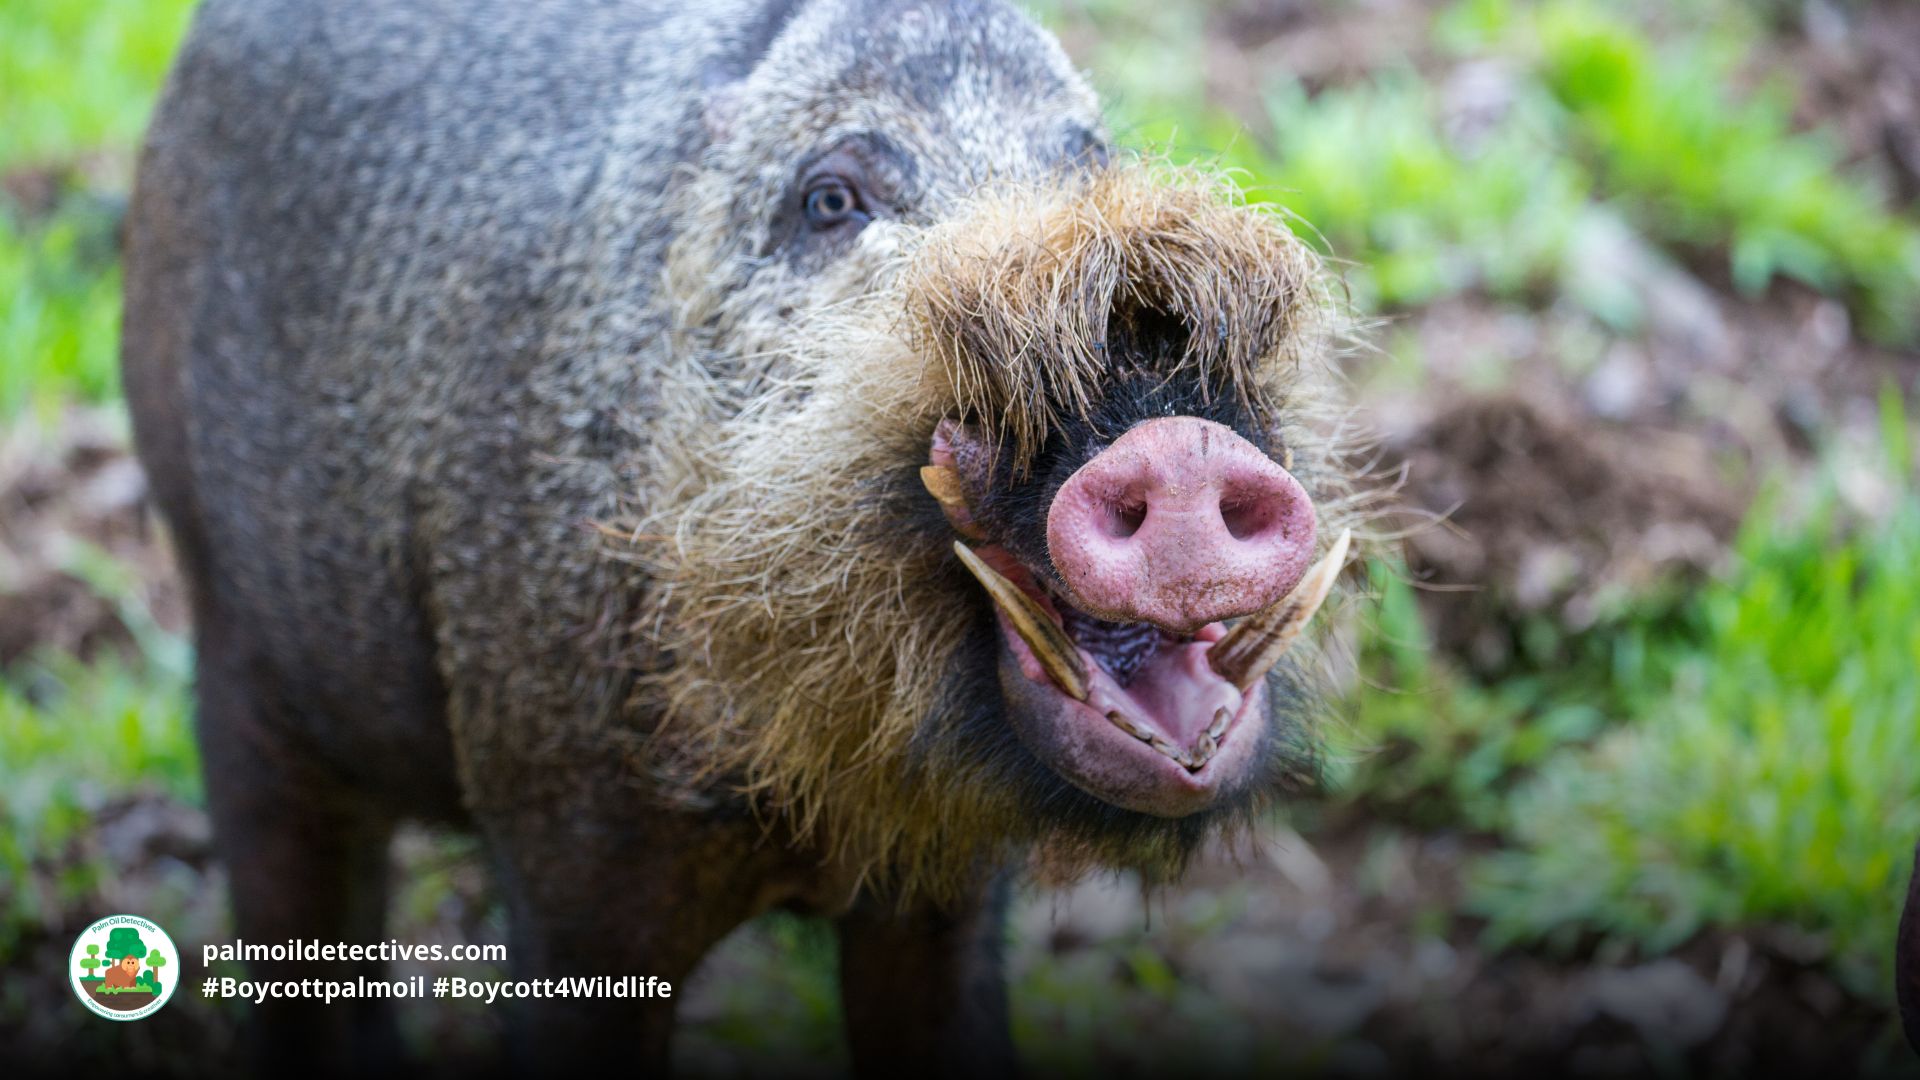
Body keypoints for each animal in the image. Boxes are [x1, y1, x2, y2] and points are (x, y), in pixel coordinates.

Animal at [121, 0, 1354, 1071]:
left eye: (1085, 158)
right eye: (830, 199)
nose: (1179, 440)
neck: (807, 804)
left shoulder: (949, 893)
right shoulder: (564, 846)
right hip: (232, 644)